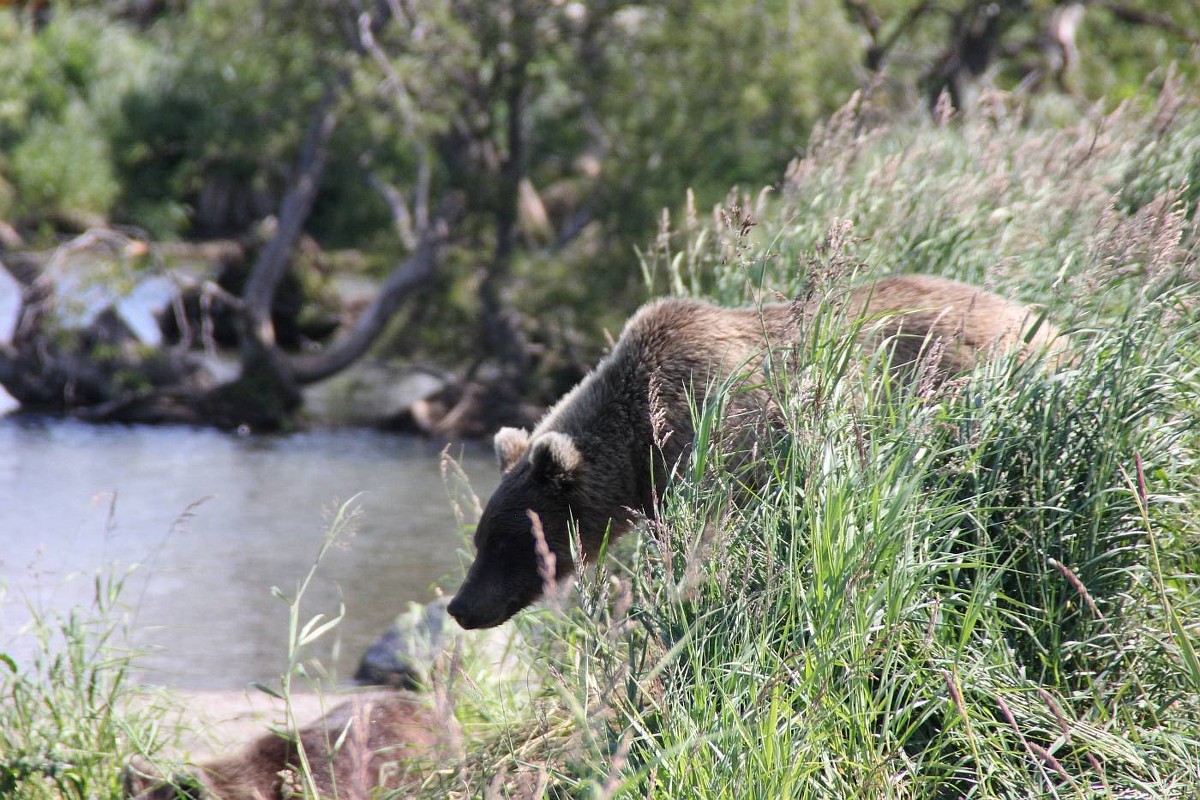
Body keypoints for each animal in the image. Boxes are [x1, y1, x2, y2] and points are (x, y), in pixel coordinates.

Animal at [446, 275, 1065, 633]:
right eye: (480, 539)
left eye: (505, 542)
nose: (460, 606)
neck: (639, 440)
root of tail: (1049, 326)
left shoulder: (723, 440)